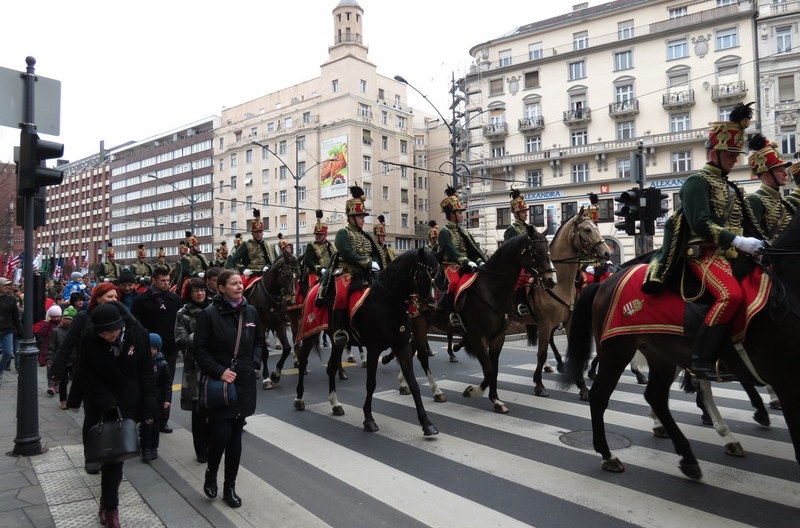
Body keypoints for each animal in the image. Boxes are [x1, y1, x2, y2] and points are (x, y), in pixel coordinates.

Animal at [244, 253, 300, 388]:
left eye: (298, 275)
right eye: (287, 275)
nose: (291, 301)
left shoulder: (279, 323)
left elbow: (287, 348)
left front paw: (276, 374)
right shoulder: (262, 325)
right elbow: (264, 352)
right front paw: (267, 379)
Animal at [294, 250, 440, 436]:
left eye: (436, 273)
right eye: (423, 273)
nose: (431, 306)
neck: (387, 301)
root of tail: (314, 288)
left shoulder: (402, 346)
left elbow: (413, 383)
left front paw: (426, 423)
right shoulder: (373, 349)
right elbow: (371, 383)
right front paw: (369, 419)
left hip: (337, 342)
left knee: (332, 367)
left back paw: (335, 404)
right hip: (310, 333)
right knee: (303, 361)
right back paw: (299, 398)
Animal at [412, 225, 556, 414]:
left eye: (548, 250)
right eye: (537, 251)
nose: (551, 280)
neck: (492, 289)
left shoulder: (498, 337)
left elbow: (494, 369)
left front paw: (496, 399)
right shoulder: (477, 337)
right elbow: (488, 370)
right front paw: (473, 391)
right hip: (419, 324)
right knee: (421, 356)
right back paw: (436, 389)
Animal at [560, 210, 800, 478]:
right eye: (586, 230)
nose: (604, 254)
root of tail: (605, 283)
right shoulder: (784, 377)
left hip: (660, 354)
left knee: (656, 395)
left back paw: (688, 453)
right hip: (617, 349)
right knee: (600, 395)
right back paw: (609, 453)